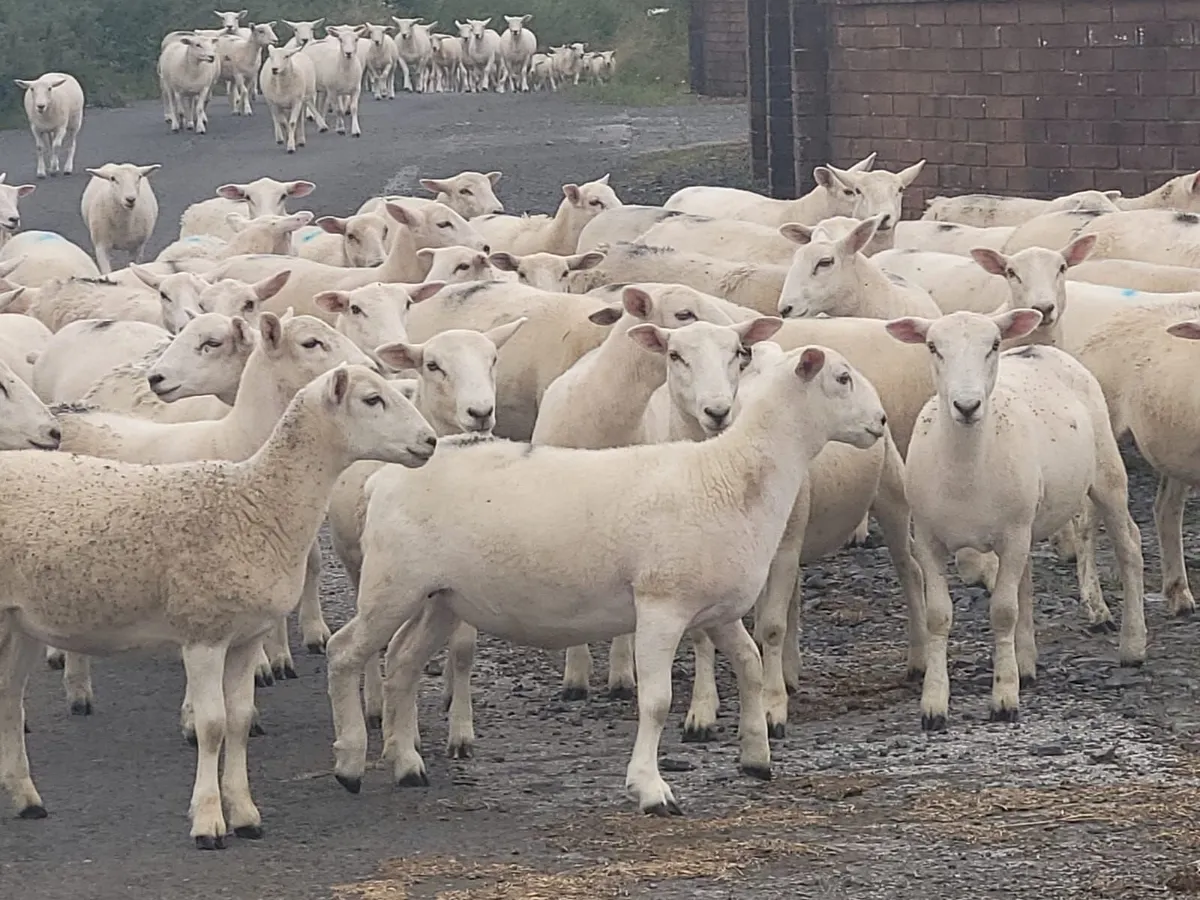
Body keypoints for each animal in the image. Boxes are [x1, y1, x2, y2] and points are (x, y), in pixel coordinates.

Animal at [0, 362, 436, 847]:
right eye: (372, 400)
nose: (431, 441)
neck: (258, 501)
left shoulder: (247, 638)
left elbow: (239, 721)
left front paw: (244, 813)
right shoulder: (203, 635)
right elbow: (212, 726)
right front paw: (208, 820)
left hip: (20, 622)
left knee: (9, 702)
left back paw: (26, 798)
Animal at [328, 339, 887, 810]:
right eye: (842, 378)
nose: (881, 421)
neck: (732, 474)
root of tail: (384, 478)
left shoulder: (718, 609)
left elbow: (749, 664)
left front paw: (757, 757)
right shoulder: (661, 606)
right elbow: (657, 701)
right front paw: (650, 788)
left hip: (442, 596)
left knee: (402, 661)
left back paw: (407, 765)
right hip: (392, 585)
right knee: (345, 652)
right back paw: (350, 763)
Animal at [886, 309, 1146, 730]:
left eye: (993, 344)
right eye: (932, 347)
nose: (967, 405)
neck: (965, 471)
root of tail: (1037, 348)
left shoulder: (1012, 535)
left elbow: (1003, 613)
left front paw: (1004, 699)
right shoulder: (928, 539)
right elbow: (939, 616)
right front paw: (934, 704)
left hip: (1106, 475)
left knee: (1129, 548)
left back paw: (1133, 644)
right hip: (1027, 520)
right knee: (1025, 581)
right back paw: (1026, 664)